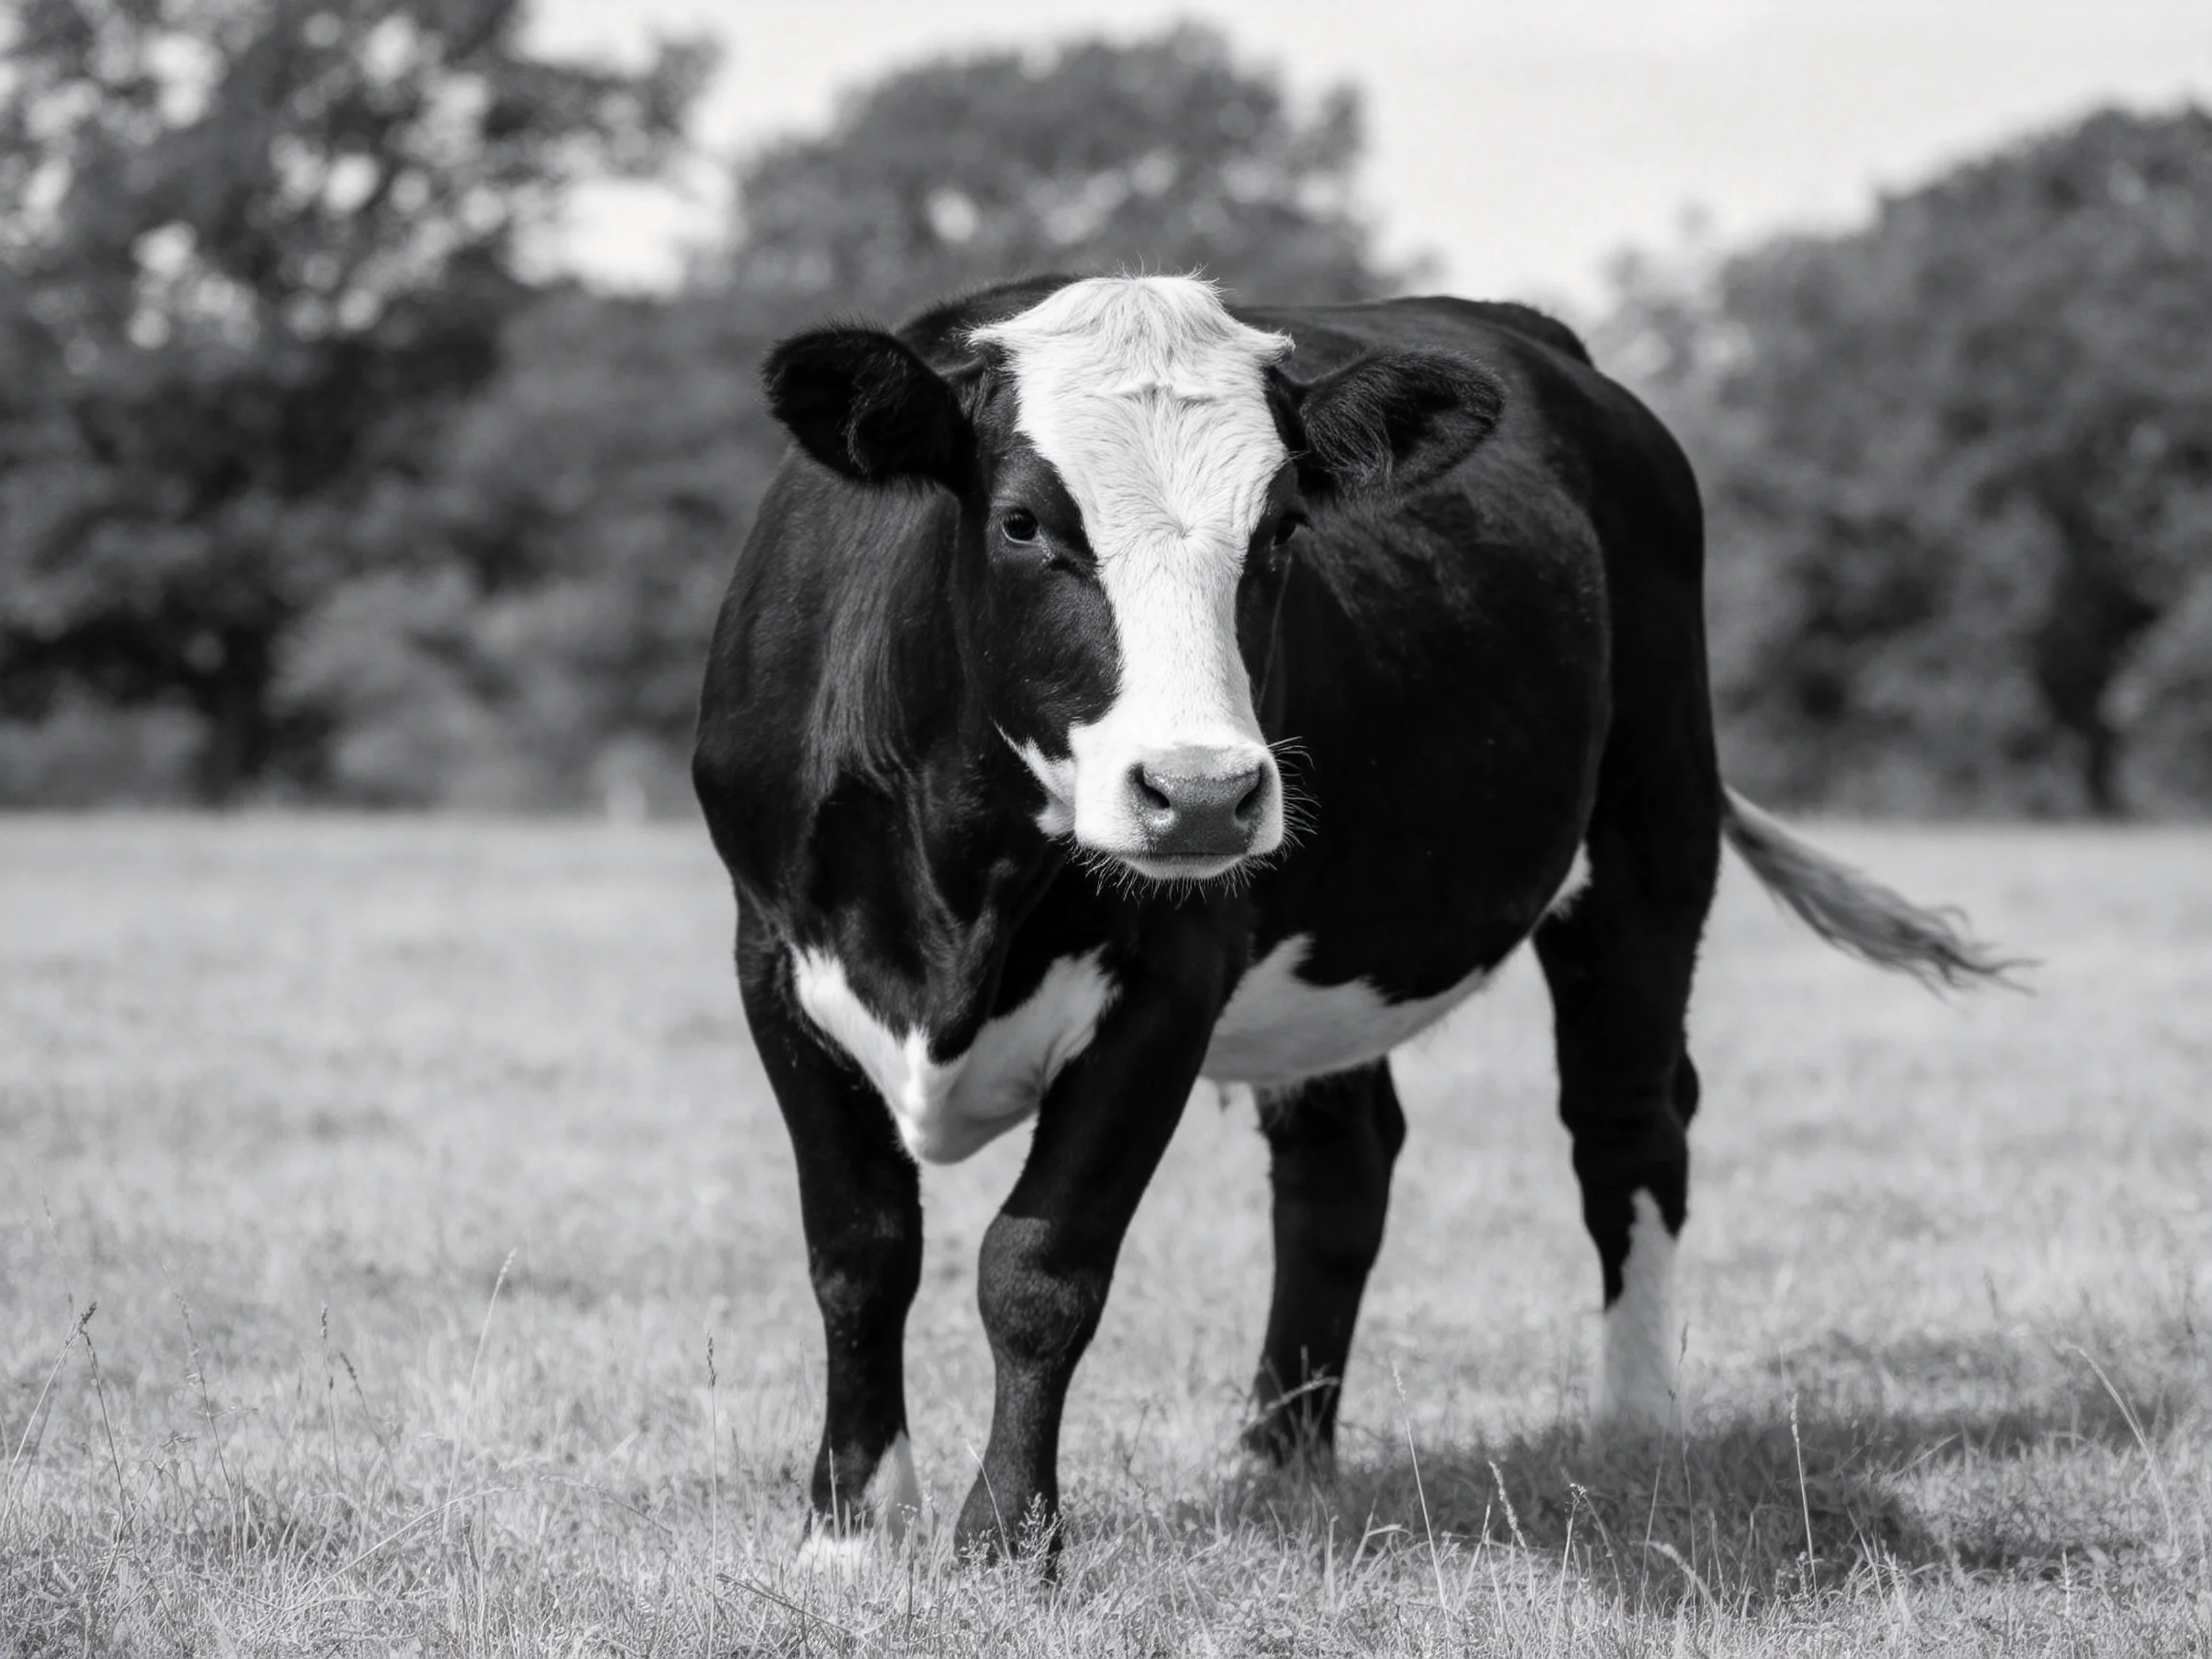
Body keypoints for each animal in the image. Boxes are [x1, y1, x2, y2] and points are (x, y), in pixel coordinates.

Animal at [691, 273, 2007, 1563]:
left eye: (1279, 529)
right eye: (1022, 523)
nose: (1202, 791)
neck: (961, 878)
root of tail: (1537, 338)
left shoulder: (1172, 980)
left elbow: (1040, 1266)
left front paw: (1006, 1542)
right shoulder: (771, 961)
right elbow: (860, 1251)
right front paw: (850, 1526)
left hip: (1653, 826)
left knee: (1628, 1124)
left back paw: (1635, 1428)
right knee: (1342, 1163)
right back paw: (1279, 1460)